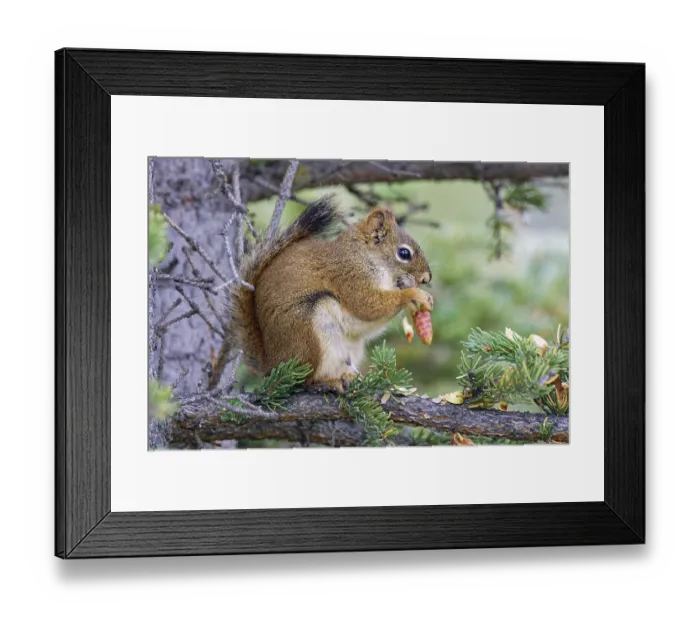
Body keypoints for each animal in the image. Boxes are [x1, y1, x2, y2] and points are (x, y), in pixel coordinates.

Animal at [209, 196, 433, 392]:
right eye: (404, 253)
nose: (426, 278)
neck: (364, 255)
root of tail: (271, 365)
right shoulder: (348, 275)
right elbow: (367, 305)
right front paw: (414, 295)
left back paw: (350, 377)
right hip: (309, 333)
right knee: (303, 381)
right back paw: (327, 382)